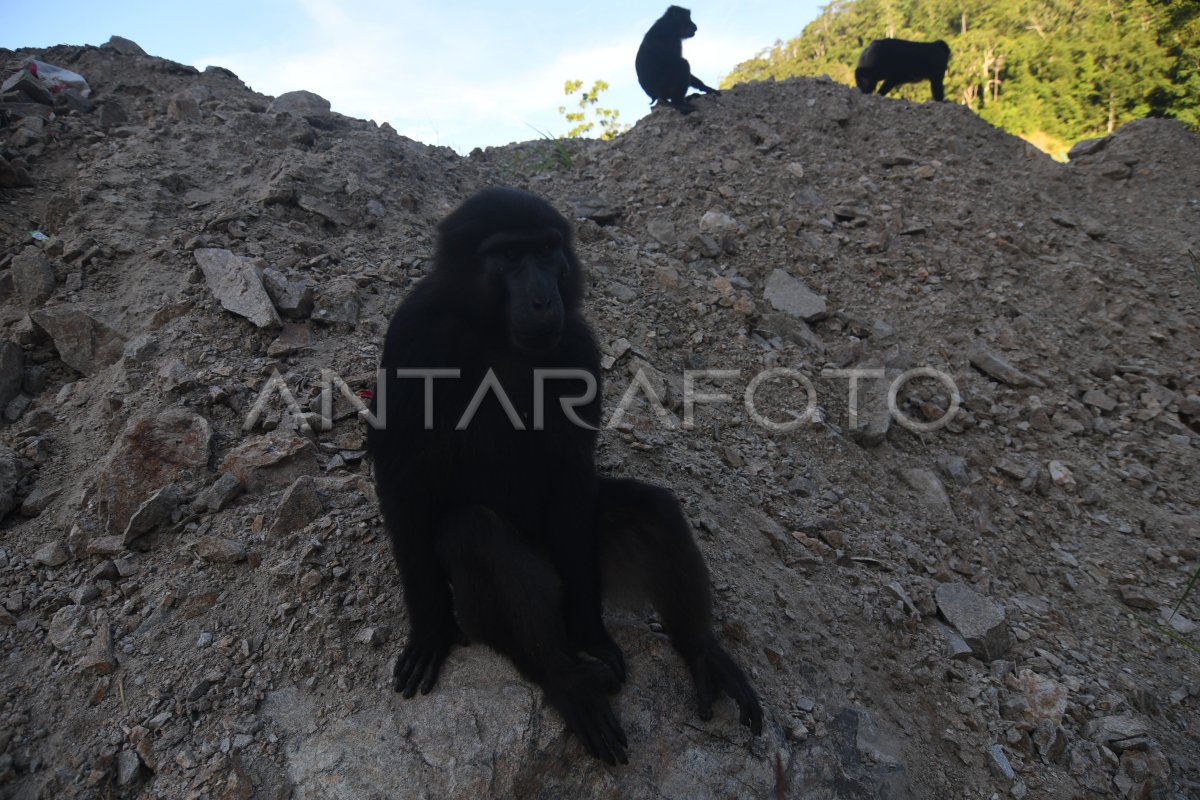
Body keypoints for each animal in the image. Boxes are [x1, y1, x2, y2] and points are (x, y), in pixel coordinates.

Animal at [364, 184, 763, 767]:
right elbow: (402, 478)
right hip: (499, 594)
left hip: (577, 563)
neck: (494, 334)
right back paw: (564, 678)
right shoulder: (413, 335)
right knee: (473, 533)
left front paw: (592, 636)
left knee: (649, 511)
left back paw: (698, 649)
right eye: (508, 255)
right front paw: (431, 631)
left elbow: (574, 471)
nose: (542, 300)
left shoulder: (577, 343)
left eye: (548, 250)